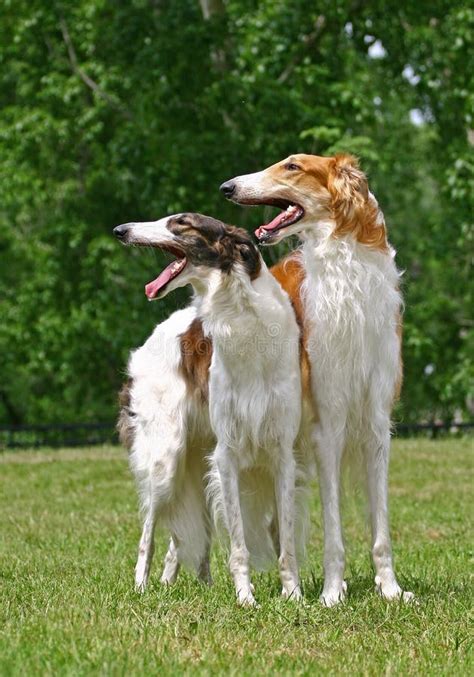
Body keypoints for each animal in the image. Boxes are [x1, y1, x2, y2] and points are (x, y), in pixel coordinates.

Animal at [116, 213, 306, 604]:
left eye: (180, 223)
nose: (120, 231)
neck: (244, 322)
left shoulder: (282, 453)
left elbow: (286, 542)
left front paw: (293, 595)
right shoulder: (228, 455)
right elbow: (238, 545)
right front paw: (246, 598)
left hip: (198, 456)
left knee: (184, 540)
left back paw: (189, 583)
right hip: (167, 458)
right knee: (149, 533)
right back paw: (142, 586)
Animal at [220, 153, 412, 604]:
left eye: (292, 166)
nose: (227, 187)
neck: (347, 272)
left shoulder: (377, 424)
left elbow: (381, 531)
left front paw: (390, 589)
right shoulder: (329, 423)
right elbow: (335, 532)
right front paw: (331, 593)